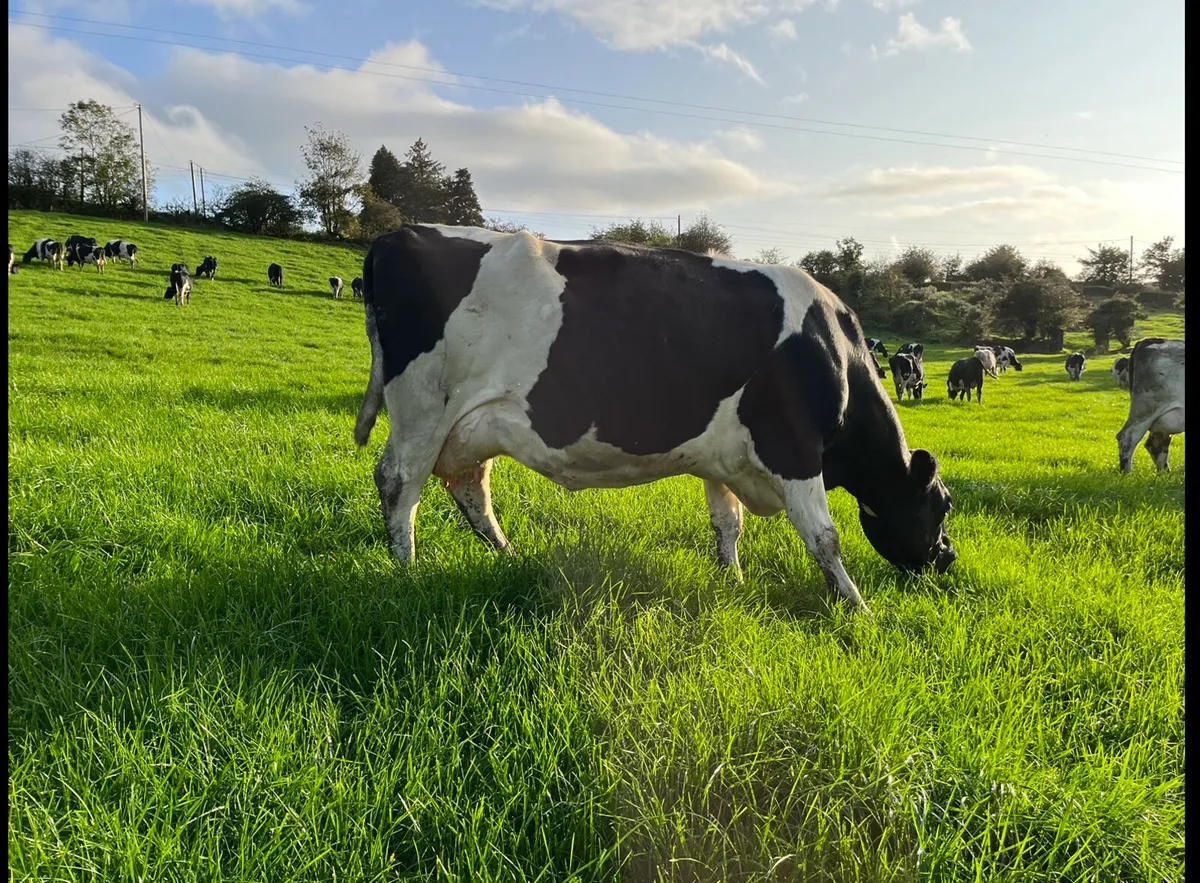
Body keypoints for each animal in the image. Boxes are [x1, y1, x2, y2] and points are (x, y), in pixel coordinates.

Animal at [354, 225, 957, 614]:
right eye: (943, 505)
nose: (948, 558)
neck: (835, 352)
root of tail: (399, 234)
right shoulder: (794, 447)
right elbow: (824, 538)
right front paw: (858, 609)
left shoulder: (724, 457)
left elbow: (727, 523)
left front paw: (733, 580)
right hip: (423, 407)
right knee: (399, 483)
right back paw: (406, 571)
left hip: (470, 424)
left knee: (470, 487)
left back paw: (508, 556)